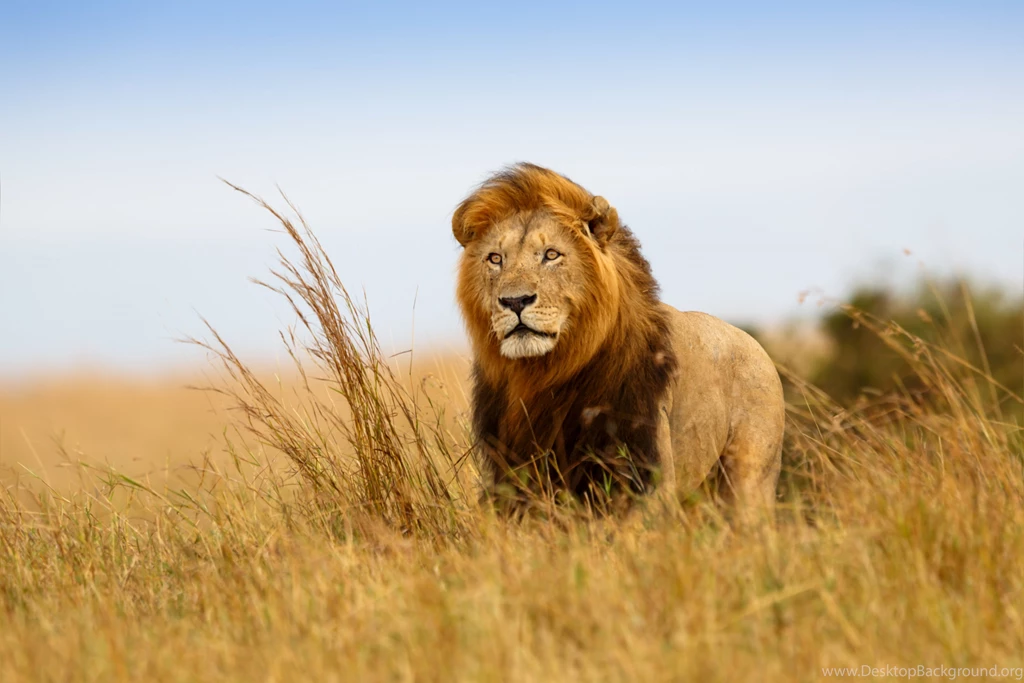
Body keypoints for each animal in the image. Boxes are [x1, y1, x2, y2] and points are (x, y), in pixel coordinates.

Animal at [453, 163, 785, 517]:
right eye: (495, 259)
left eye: (551, 255)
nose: (514, 301)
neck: (544, 373)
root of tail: (757, 347)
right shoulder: (513, 472)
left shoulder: (645, 469)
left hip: (749, 479)